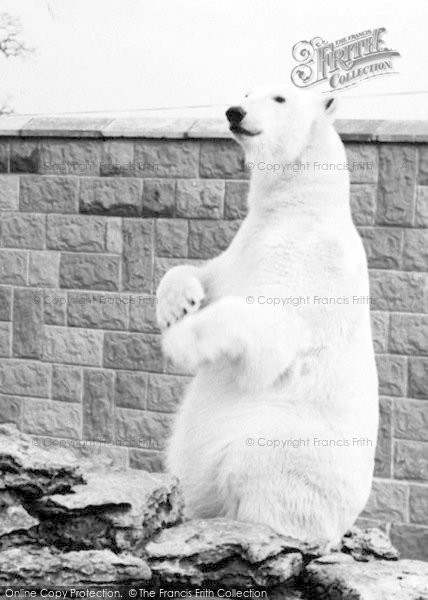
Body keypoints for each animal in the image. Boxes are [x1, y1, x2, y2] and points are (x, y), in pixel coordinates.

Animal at [155, 85, 380, 548]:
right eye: (244, 92)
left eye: (279, 97)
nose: (234, 112)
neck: (299, 207)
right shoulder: (241, 247)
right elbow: (205, 274)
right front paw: (176, 307)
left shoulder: (312, 263)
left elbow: (273, 330)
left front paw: (181, 341)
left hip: (292, 448)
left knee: (258, 470)